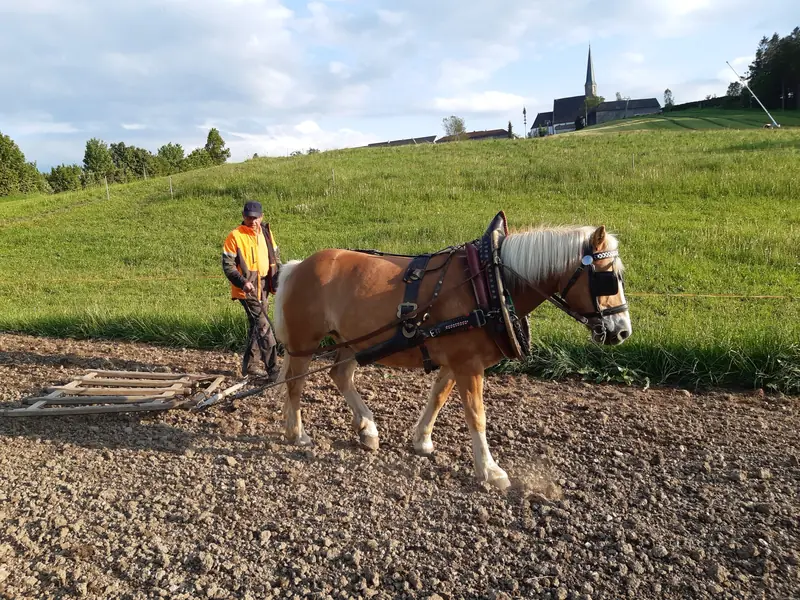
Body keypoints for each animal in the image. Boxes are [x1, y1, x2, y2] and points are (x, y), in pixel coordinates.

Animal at [272, 218, 631, 489]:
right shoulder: (468, 364)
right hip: (306, 343)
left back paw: (367, 428)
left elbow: (438, 397)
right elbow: (476, 414)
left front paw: (422, 440)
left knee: (340, 375)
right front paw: (490, 470)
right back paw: (297, 433)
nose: (623, 331)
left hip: (350, 340)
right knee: (295, 384)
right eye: (608, 278)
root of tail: (296, 266)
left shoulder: (456, 361)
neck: (490, 282)